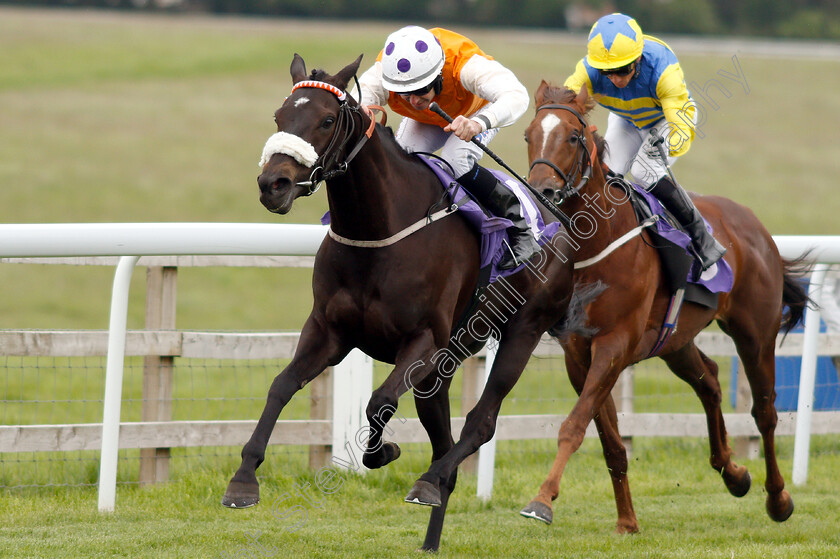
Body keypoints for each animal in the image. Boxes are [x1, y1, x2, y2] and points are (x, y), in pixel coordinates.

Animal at [220, 54, 580, 552]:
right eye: (279, 117)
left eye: (326, 120)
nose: (273, 183)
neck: (378, 233)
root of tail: (555, 218)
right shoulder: (328, 332)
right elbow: (280, 386)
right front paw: (243, 480)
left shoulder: (423, 340)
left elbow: (379, 402)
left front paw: (382, 452)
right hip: (444, 367)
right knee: (444, 439)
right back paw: (431, 526)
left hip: (521, 332)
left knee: (480, 423)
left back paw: (428, 481)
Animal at [520, 82, 808, 532]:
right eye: (529, 135)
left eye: (572, 136)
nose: (541, 190)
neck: (598, 242)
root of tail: (755, 226)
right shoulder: (578, 353)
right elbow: (609, 440)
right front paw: (627, 521)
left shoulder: (614, 344)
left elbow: (574, 425)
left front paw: (542, 500)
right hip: (676, 340)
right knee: (709, 381)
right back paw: (734, 473)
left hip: (755, 333)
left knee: (765, 412)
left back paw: (777, 498)